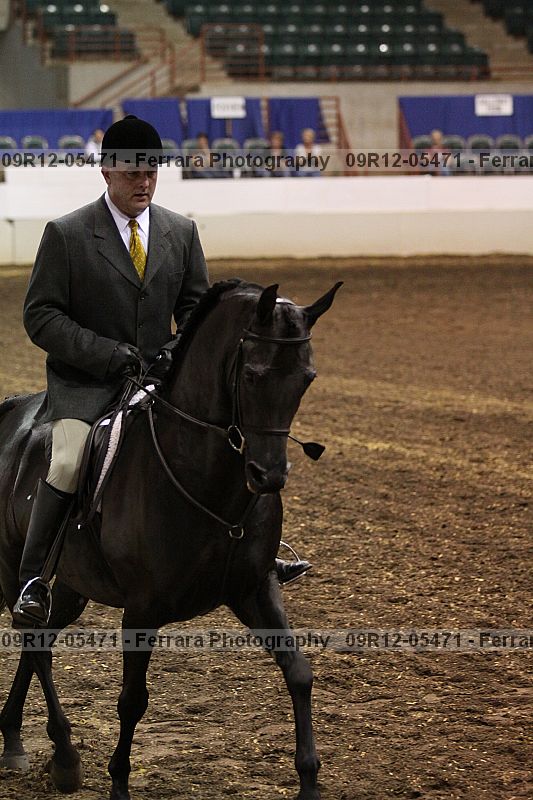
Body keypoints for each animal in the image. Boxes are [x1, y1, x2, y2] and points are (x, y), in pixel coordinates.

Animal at [0, 278, 342, 800]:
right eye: (253, 376)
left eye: (307, 378)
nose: (268, 477)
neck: (209, 483)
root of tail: (13, 410)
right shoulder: (142, 609)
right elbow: (132, 700)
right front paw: (119, 783)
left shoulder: (255, 588)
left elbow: (299, 673)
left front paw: (308, 782)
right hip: (10, 567)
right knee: (35, 640)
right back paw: (64, 755)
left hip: (72, 585)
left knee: (38, 638)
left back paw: (16, 739)